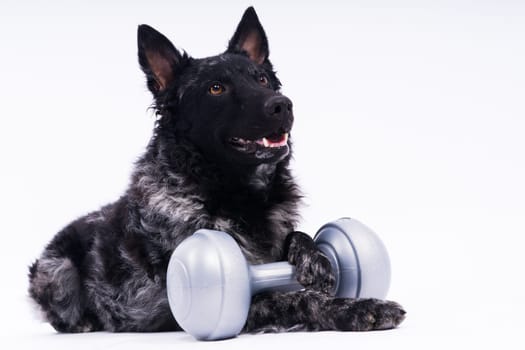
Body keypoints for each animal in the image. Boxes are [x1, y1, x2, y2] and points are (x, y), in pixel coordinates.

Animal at [28, 6, 406, 334]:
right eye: (216, 88)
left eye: (263, 80)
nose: (283, 105)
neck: (235, 193)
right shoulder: (219, 304)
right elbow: (295, 300)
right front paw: (359, 308)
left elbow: (298, 235)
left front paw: (316, 259)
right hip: (58, 270)